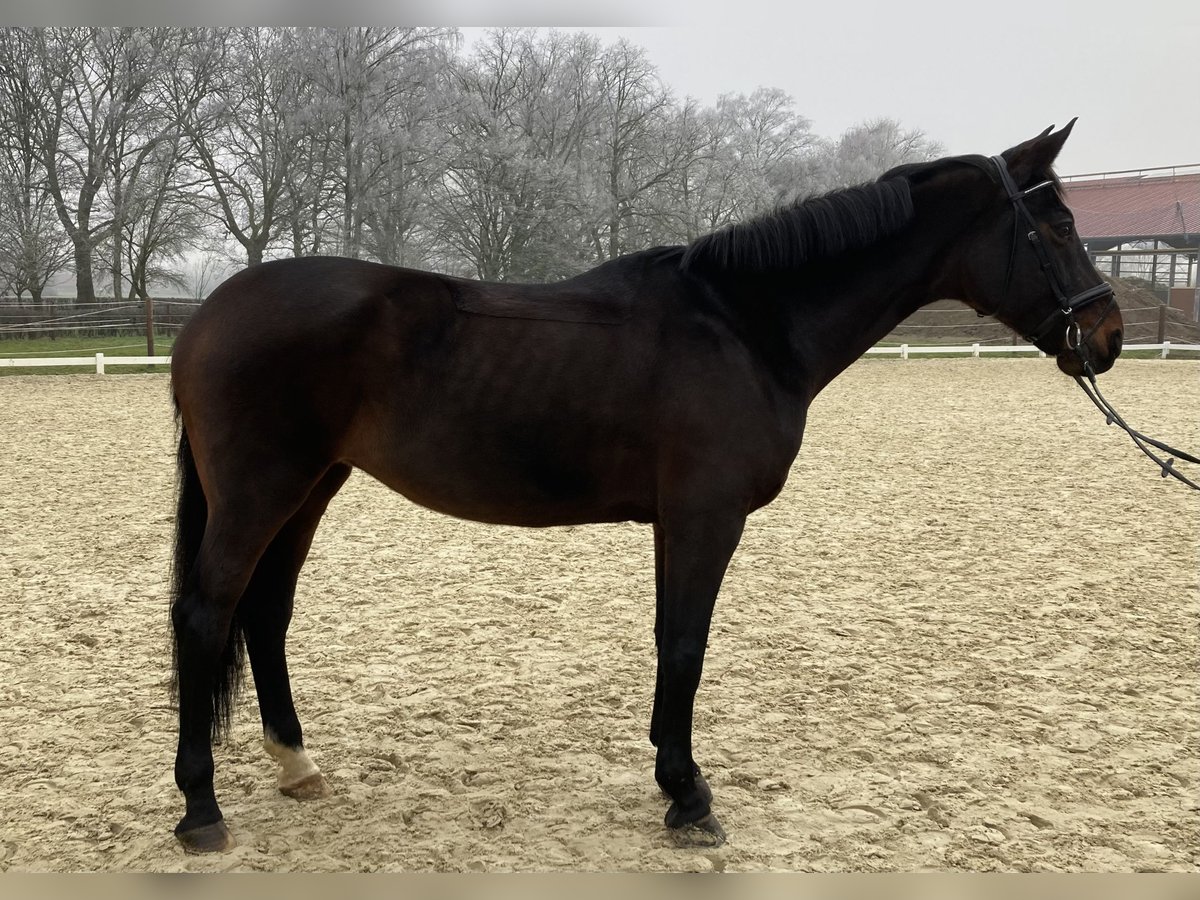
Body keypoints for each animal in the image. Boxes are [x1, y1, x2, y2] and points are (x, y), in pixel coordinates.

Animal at [169, 123, 1123, 854]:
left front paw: (673, 776)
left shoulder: (679, 518)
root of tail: (209, 314)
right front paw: (689, 796)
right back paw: (201, 810)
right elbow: (687, 643)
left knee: (266, 614)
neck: (743, 323)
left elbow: (672, 638)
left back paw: (297, 766)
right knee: (208, 615)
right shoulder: (707, 513)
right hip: (263, 492)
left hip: (311, 487)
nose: (1108, 334)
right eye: (1059, 224)